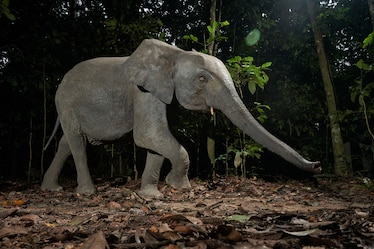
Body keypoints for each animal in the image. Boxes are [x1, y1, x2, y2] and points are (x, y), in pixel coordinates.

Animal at [41, 39, 322, 198]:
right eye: (202, 78)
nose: (318, 165)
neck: (175, 54)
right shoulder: (142, 91)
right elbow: (148, 135)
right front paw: (179, 187)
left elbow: (153, 142)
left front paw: (151, 196)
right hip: (65, 102)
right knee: (77, 142)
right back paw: (87, 193)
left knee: (67, 142)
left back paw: (52, 189)